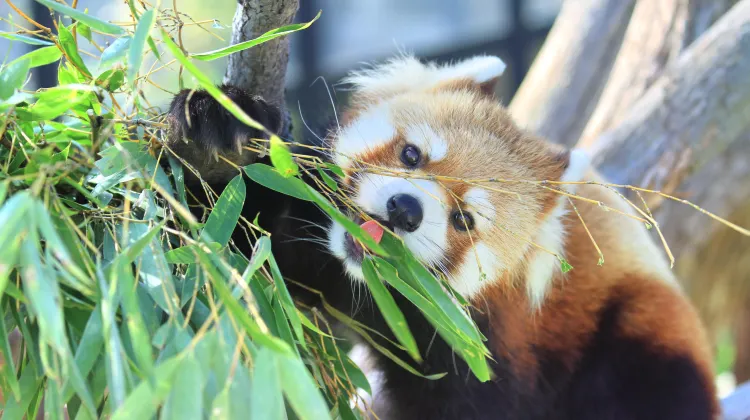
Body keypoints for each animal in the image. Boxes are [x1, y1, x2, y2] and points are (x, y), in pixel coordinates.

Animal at [167, 55, 720, 420]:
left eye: (464, 219)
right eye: (412, 155)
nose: (405, 209)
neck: (374, 289)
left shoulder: (488, 349)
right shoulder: (311, 241)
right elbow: (224, 242)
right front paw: (219, 132)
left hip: (639, 342)